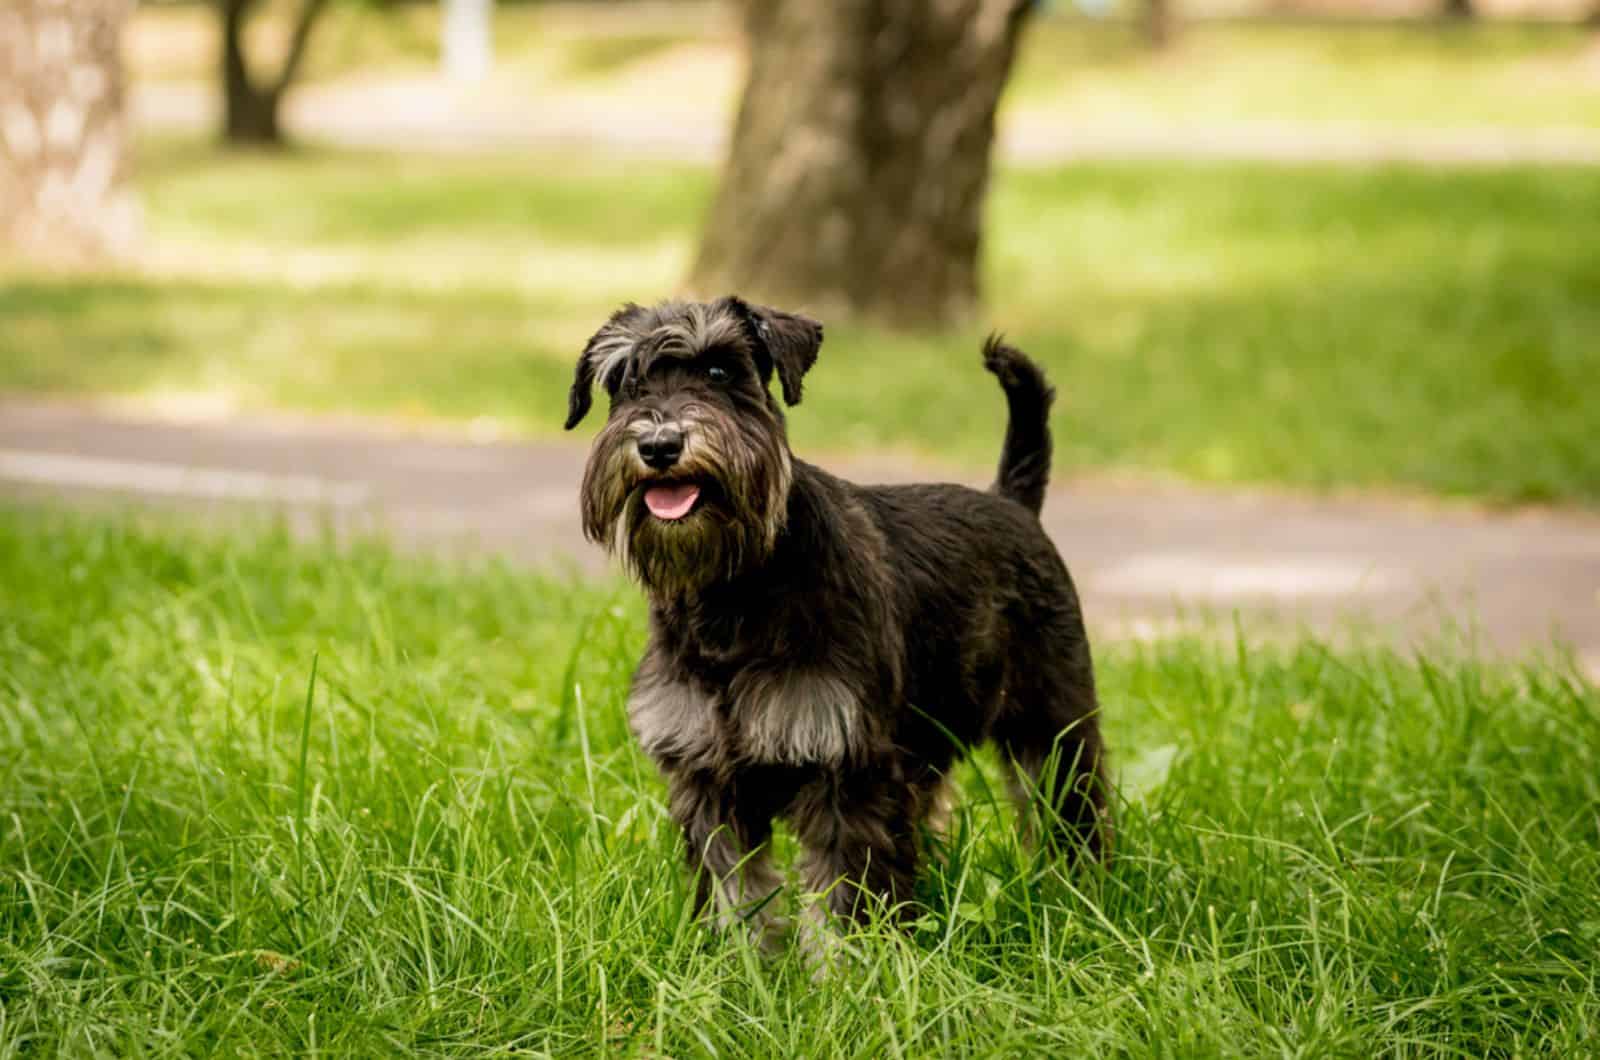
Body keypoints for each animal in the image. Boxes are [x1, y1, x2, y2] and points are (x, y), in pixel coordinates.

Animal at [569, 296, 1107, 947]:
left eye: (721, 372)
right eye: (625, 383)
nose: (659, 443)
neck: (734, 591)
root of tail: (1012, 500)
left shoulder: (846, 773)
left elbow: (842, 901)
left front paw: (847, 970)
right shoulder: (708, 780)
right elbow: (736, 894)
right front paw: (739, 965)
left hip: (1052, 727)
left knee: (1072, 813)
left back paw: (1084, 900)